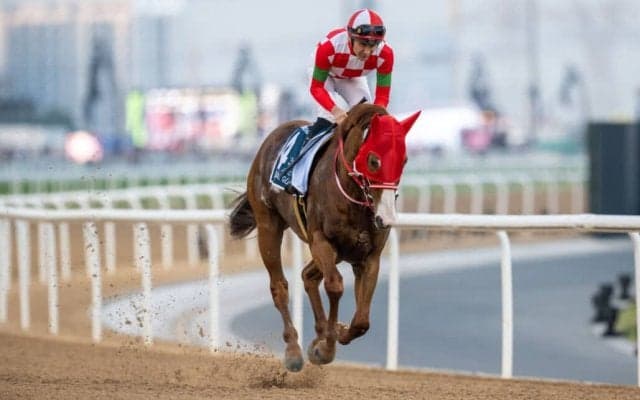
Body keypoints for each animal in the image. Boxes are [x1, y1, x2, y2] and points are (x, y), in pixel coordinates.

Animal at [228, 102, 420, 372]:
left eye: (403, 160)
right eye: (373, 160)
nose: (387, 218)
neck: (353, 197)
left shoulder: (368, 256)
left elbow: (362, 320)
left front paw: (336, 332)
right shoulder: (321, 242)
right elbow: (335, 285)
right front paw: (326, 346)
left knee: (307, 276)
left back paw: (319, 332)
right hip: (269, 226)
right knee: (280, 286)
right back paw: (294, 349)